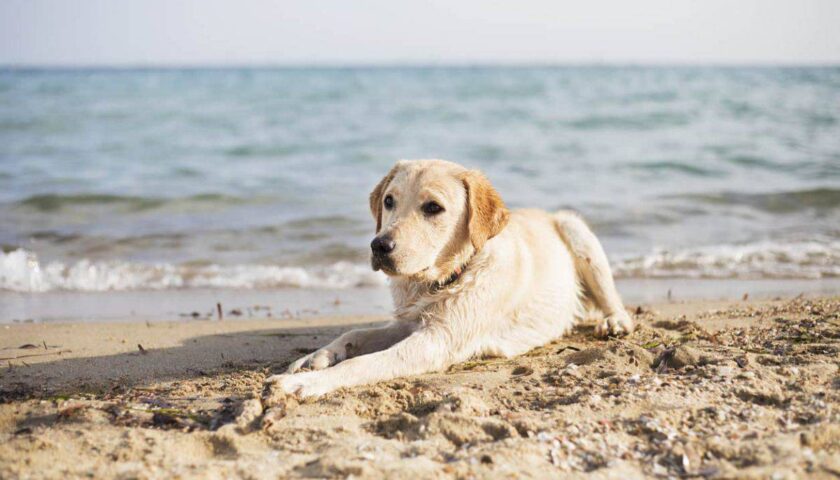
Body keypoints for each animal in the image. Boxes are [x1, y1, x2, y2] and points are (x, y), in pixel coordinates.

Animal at [266, 159, 632, 400]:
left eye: (433, 207)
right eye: (389, 201)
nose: (379, 246)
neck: (447, 277)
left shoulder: (437, 340)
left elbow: (362, 364)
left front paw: (306, 384)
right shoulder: (408, 322)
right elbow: (354, 334)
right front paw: (315, 358)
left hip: (576, 231)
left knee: (614, 300)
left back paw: (615, 322)